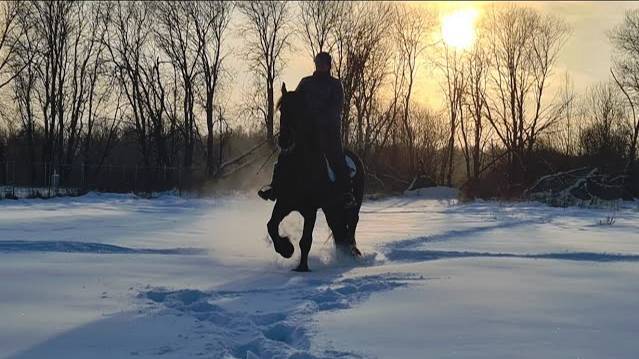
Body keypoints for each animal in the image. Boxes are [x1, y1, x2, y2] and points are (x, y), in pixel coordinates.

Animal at [264, 82, 364, 272]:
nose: (284, 141)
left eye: (298, 110)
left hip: (352, 206)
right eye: (281, 109)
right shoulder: (284, 202)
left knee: (352, 225)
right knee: (339, 229)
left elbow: (306, 241)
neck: (299, 164)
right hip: (331, 208)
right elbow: (271, 226)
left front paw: (302, 267)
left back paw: (352, 254)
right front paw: (286, 249)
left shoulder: (310, 210)